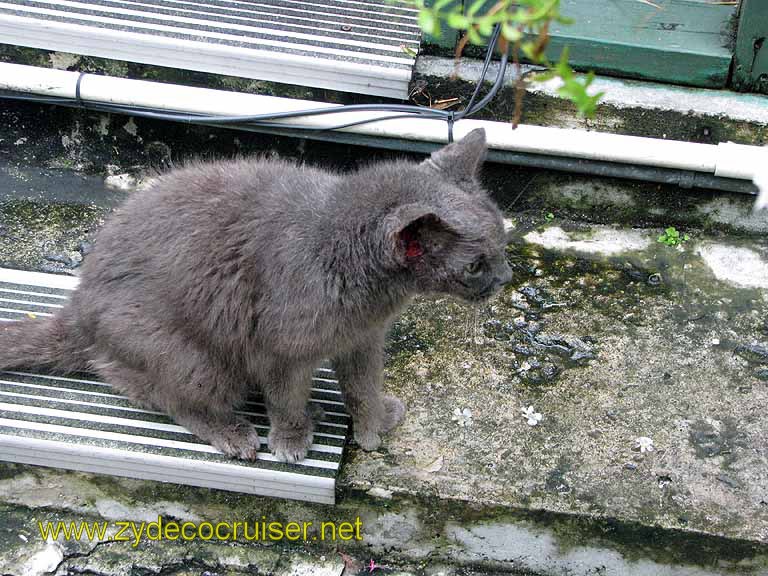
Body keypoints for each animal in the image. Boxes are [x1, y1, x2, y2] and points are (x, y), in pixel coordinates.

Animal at [0, 129, 510, 464]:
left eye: (503, 241)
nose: (505, 276)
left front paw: (374, 424)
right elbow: (284, 397)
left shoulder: (364, 340)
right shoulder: (279, 348)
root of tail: (78, 306)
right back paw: (236, 432)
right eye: (475, 265)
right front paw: (290, 439)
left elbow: (362, 386)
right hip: (192, 359)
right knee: (162, 393)